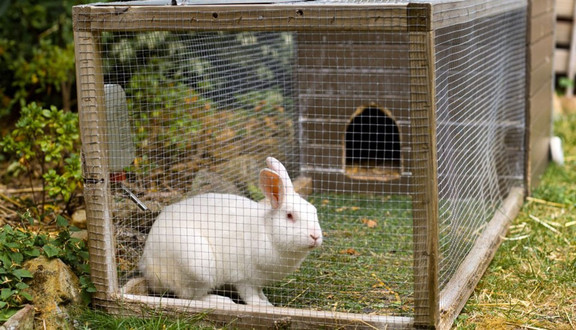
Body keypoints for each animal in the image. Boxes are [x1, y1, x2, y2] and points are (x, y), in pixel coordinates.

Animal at [137, 157, 322, 306]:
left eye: (314, 211)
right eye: (290, 216)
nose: (315, 236)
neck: (268, 232)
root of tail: (148, 267)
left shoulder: (258, 280)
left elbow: (259, 291)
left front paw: (265, 300)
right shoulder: (243, 278)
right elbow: (249, 295)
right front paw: (263, 306)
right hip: (197, 266)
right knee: (190, 296)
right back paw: (222, 300)